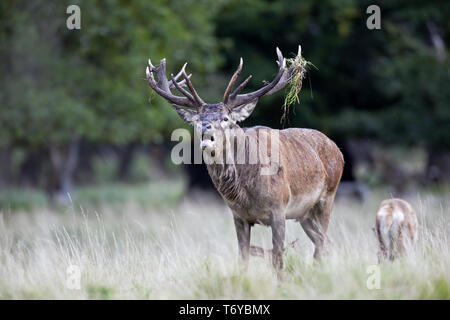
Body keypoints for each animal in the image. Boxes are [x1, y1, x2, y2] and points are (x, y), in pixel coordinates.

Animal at [146, 46, 342, 274]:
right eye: (197, 120)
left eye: (225, 118)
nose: (205, 130)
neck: (245, 194)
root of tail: (338, 150)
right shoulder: (238, 215)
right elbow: (243, 259)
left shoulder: (279, 208)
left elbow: (278, 259)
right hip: (305, 214)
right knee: (325, 243)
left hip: (327, 196)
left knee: (321, 245)